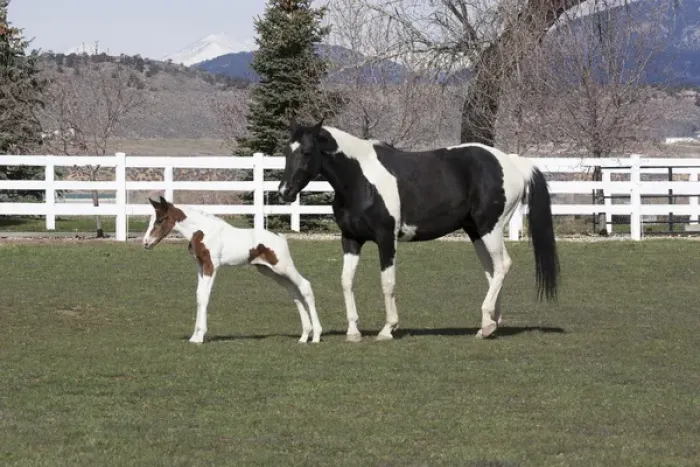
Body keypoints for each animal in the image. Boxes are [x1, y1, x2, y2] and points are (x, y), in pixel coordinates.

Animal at [142, 196, 322, 344]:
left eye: (160, 220)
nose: (146, 243)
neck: (203, 231)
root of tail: (281, 238)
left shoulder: (211, 266)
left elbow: (204, 297)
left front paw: (199, 337)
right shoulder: (200, 266)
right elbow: (199, 295)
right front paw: (195, 336)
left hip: (283, 267)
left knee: (305, 286)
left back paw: (316, 336)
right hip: (270, 271)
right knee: (294, 292)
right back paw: (304, 335)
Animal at [277, 119, 559, 342]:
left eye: (307, 151)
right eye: (286, 151)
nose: (284, 192)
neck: (360, 180)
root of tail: (511, 163)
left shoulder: (386, 239)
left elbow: (387, 282)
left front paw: (388, 329)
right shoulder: (351, 239)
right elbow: (346, 281)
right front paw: (353, 332)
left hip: (491, 228)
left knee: (502, 266)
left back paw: (488, 324)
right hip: (476, 232)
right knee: (492, 271)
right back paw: (488, 324)